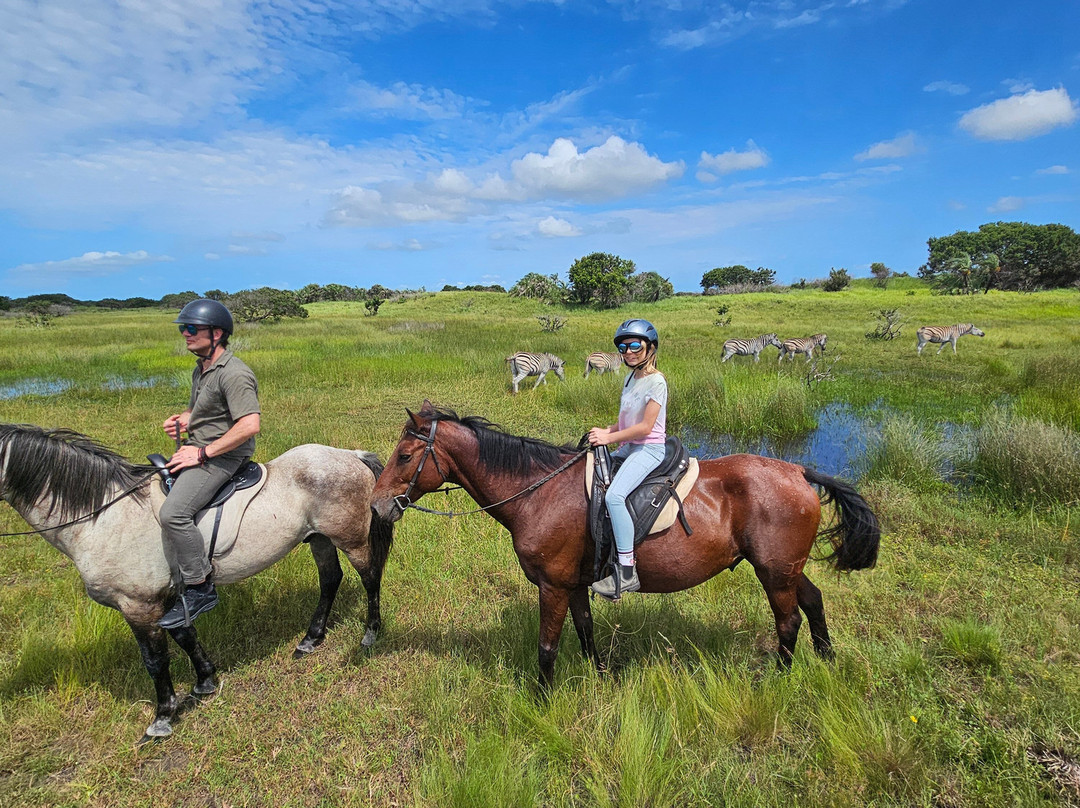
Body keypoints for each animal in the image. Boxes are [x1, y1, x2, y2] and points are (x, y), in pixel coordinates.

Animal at [0, 423, 394, 742]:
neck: (105, 514)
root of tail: (351, 455)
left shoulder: (139, 605)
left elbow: (155, 660)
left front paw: (162, 718)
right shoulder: (171, 598)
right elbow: (185, 635)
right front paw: (204, 681)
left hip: (349, 540)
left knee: (369, 578)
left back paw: (370, 633)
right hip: (319, 538)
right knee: (330, 580)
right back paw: (311, 639)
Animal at [371, 402, 880, 689]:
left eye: (405, 456)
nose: (376, 505)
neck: (540, 491)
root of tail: (799, 472)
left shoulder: (552, 586)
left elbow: (547, 646)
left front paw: (539, 700)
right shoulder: (574, 584)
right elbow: (585, 631)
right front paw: (601, 678)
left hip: (773, 571)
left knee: (788, 620)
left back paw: (779, 679)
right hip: (786, 567)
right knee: (813, 600)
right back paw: (826, 660)